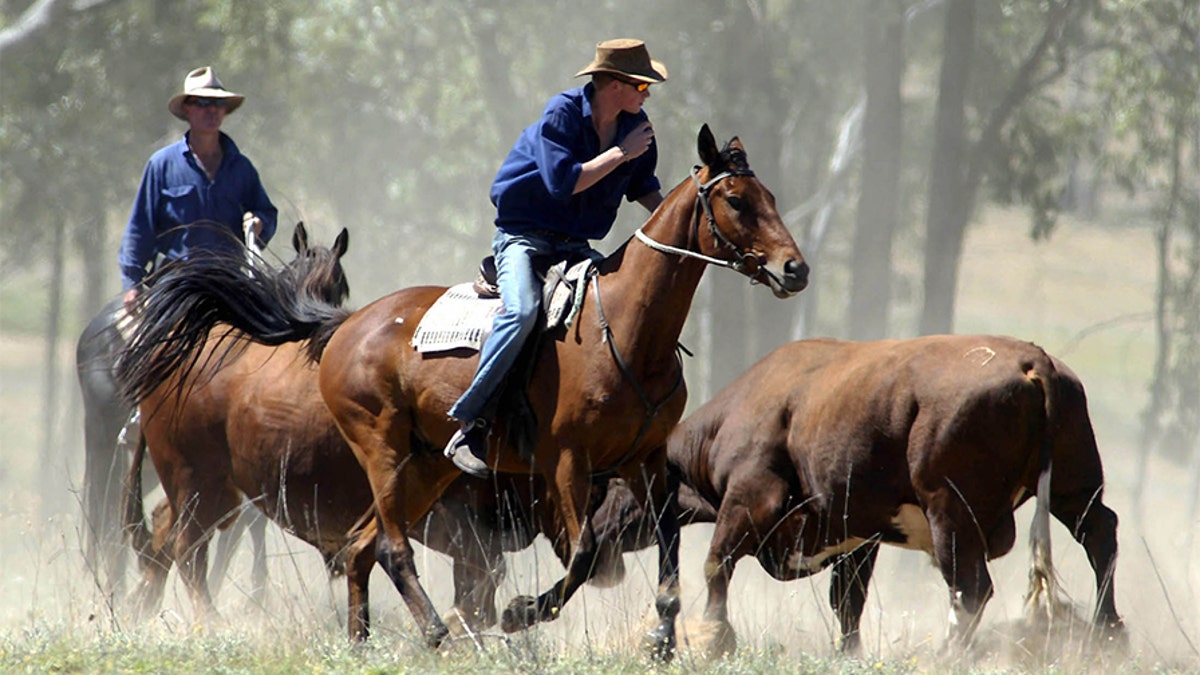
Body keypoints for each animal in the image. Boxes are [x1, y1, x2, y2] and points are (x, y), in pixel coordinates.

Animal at [117, 123, 806, 653]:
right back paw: (429, 631)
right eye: (737, 200)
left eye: (770, 194)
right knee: (375, 545)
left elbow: (666, 551)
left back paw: (360, 641)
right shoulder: (565, 462)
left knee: (357, 546)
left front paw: (662, 637)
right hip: (349, 458)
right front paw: (522, 613)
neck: (624, 327)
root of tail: (342, 328)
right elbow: (582, 553)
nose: (794, 268)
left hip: (423, 466)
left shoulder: (647, 460)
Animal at [667, 333, 1123, 653]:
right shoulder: (857, 533)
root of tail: (1031, 358)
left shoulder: (749, 496)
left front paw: (712, 636)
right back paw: (1109, 633)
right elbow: (847, 600)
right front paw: (848, 654)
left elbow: (716, 565)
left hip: (950, 509)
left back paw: (950, 654)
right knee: (1100, 535)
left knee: (970, 586)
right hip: (1074, 487)